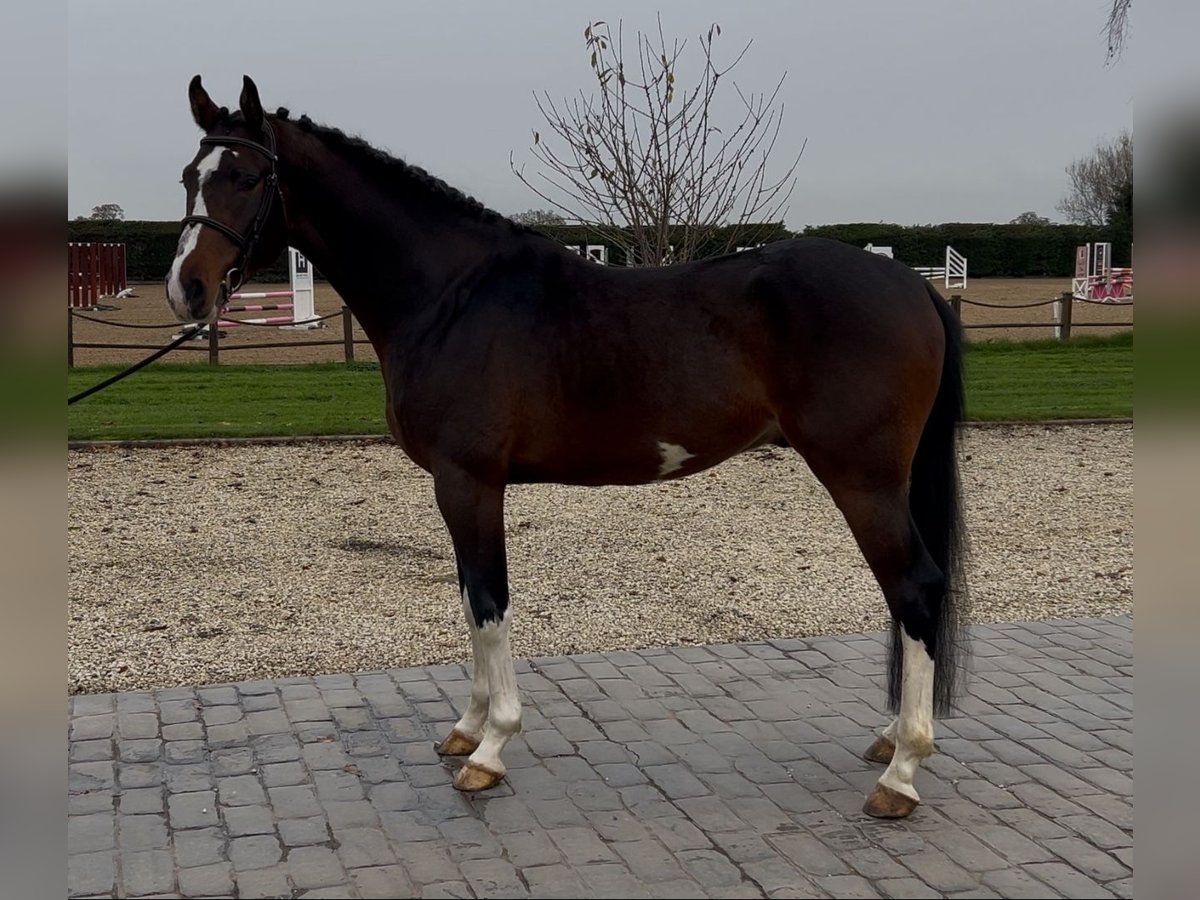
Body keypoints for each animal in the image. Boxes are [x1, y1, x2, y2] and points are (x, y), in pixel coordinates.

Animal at [169, 79, 969, 825]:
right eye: (187, 176)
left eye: (247, 177)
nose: (188, 290)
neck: (451, 296)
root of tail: (910, 286)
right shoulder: (460, 489)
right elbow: (469, 600)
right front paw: (466, 728)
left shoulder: (469, 482)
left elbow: (489, 601)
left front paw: (491, 748)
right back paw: (889, 739)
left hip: (862, 478)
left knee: (915, 589)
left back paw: (901, 772)